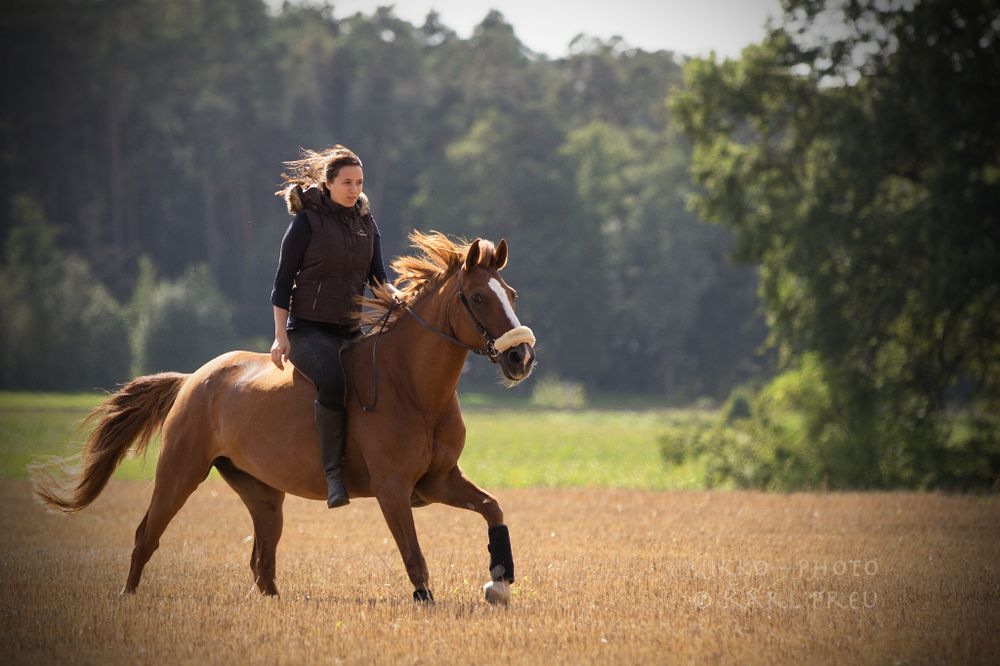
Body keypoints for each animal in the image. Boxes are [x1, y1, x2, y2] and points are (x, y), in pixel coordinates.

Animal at [35, 232, 540, 600]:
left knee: (262, 562)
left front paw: (500, 580)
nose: (521, 357)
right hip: (180, 472)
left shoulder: (437, 481)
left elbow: (493, 507)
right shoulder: (393, 489)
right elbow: (414, 557)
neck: (413, 388)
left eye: (512, 293)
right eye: (477, 297)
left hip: (262, 495)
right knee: (146, 535)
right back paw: (128, 597)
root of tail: (193, 378)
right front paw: (428, 603)